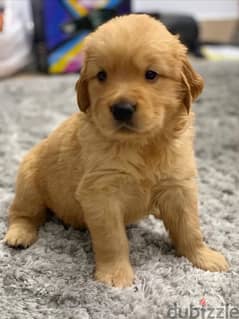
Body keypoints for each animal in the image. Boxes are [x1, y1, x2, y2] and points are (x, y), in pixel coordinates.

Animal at [3, 14, 228, 288]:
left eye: (151, 74)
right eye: (101, 76)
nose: (122, 109)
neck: (142, 146)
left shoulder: (178, 186)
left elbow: (189, 227)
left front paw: (203, 257)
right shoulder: (101, 193)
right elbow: (113, 239)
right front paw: (115, 275)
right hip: (29, 183)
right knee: (22, 213)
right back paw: (19, 234)